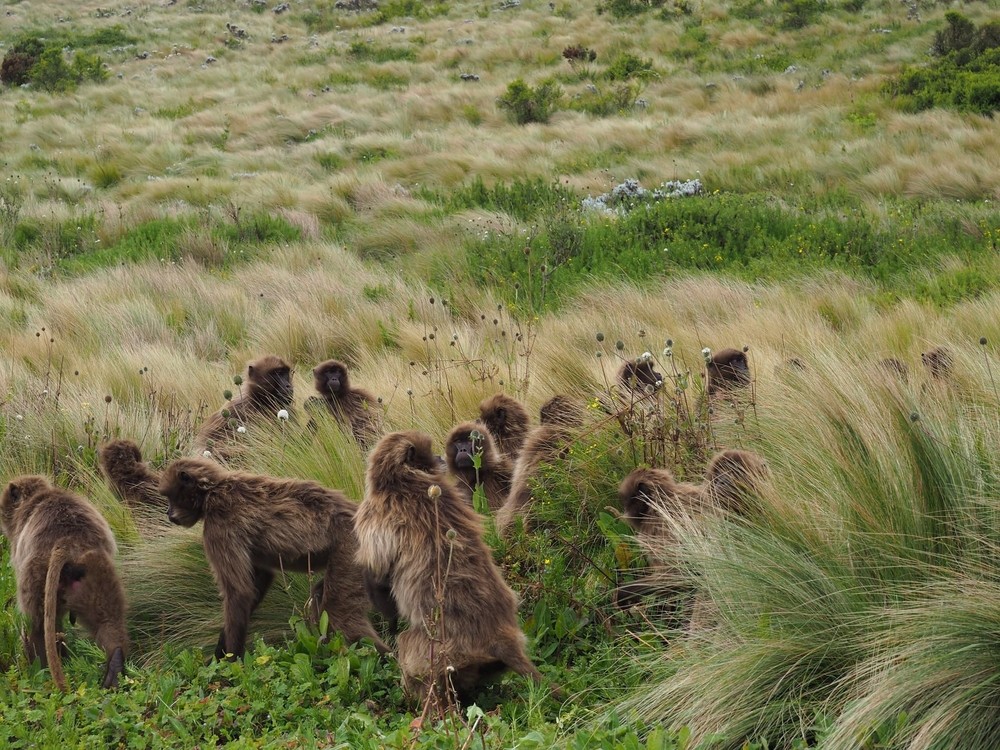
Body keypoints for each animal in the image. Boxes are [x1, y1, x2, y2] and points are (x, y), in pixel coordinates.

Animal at [0, 476, 129, 692]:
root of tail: (69, 541)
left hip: (38, 575)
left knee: (38, 626)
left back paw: (40, 669)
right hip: (95, 571)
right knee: (108, 619)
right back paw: (115, 661)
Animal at [160, 458, 386, 656]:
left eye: (171, 497)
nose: (169, 514)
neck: (212, 491)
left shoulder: (218, 525)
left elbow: (239, 593)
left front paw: (229, 662)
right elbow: (257, 583)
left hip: (352, 550)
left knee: (338, 612)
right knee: (320, 598)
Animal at [356, 432, 544, 708]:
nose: (439, 458)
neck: (402, 478)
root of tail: (499, 640)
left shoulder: (372, 513)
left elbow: (378, 579)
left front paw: (390, 627)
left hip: (439, 655)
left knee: (410, 648)